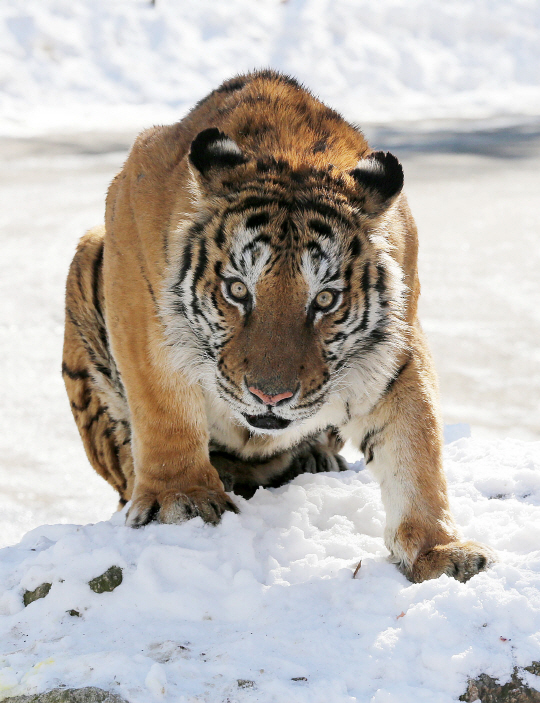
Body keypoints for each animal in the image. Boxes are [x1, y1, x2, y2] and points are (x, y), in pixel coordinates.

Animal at [62, 70, 494, 584]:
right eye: (236, 290)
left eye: (325, 299)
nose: (271, 396)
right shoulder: (141, 297)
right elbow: (163, 402)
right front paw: (181, 501)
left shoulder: (396, 350)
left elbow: (416, 441)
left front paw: (441, 551)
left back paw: (310, 456)